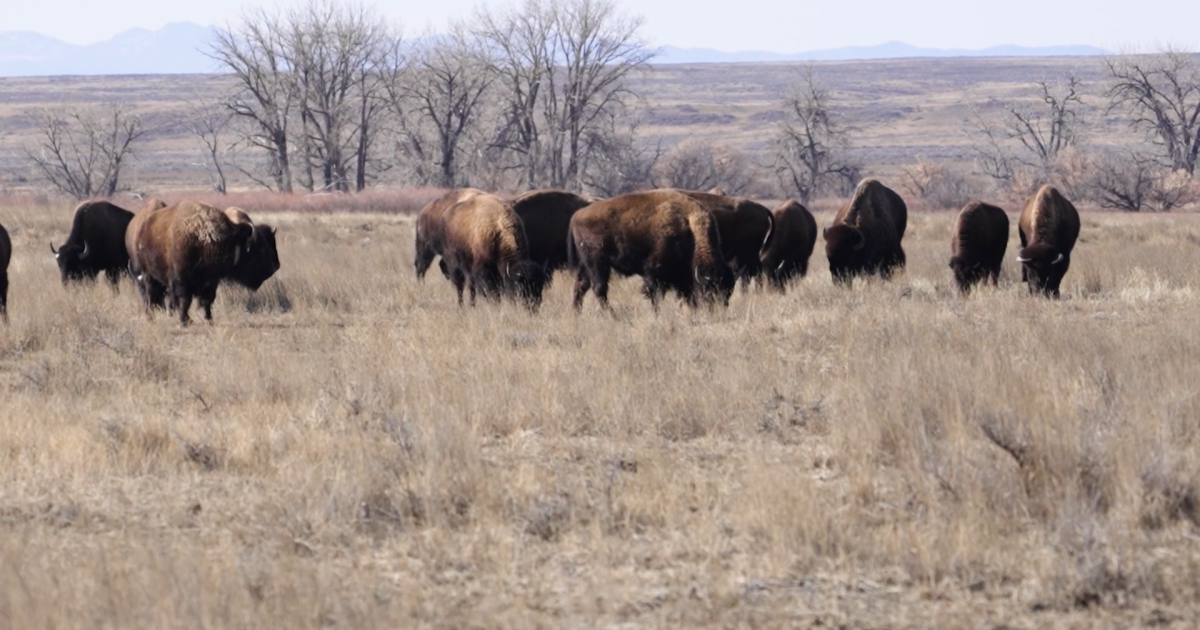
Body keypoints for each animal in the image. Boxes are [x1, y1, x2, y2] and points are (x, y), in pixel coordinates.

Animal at [567, 189, 735, 311]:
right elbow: (655, 294)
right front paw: (656, 313)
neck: (690, 227)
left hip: (585, 264)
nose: (718, 311)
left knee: (581, 286)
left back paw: (576, 313)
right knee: (599, 289)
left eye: (728, 293)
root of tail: (577, 215)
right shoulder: (655, 271)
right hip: (598, 263)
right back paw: (612, 315)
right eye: (711, 291)